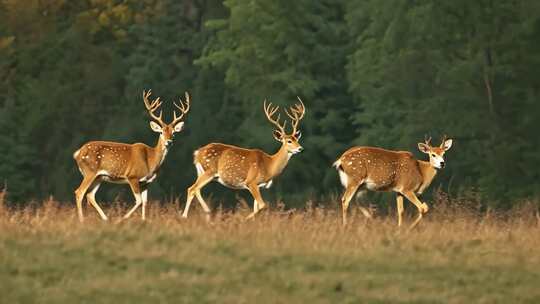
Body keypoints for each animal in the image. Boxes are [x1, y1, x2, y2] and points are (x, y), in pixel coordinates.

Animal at [71, 89, 190, 221]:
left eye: (173, 133)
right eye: (161, 132)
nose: (169, 142)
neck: (151, 160)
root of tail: (77, 153)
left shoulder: (146, 182)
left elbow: (145, 202)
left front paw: (143, 220)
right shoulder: (133, 176)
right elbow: (138, 201)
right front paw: (122, 219)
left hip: (99, 176)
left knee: (90, 195)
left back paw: (105, 219)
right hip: (89, 171)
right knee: (79, 192)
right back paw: (82, 220)